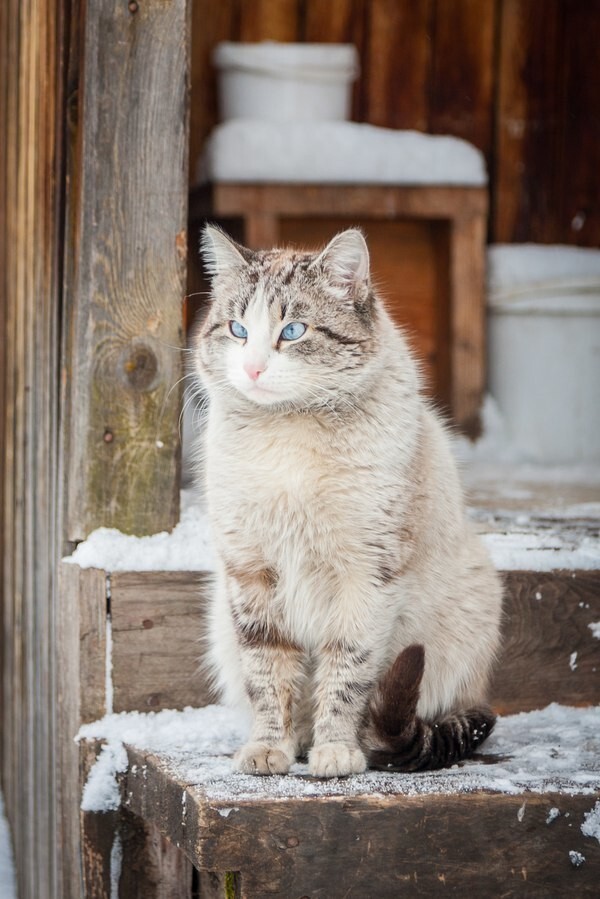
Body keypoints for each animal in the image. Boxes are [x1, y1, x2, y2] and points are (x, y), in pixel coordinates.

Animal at [196, 227, 502, 780]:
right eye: (237, 329)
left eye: (293, 331)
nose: (252, 369)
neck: (288, 431)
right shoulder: (252, 573)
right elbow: (269, 675)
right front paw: (269, 750)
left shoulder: (365, 576)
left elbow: (347, 673)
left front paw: (336, 753)